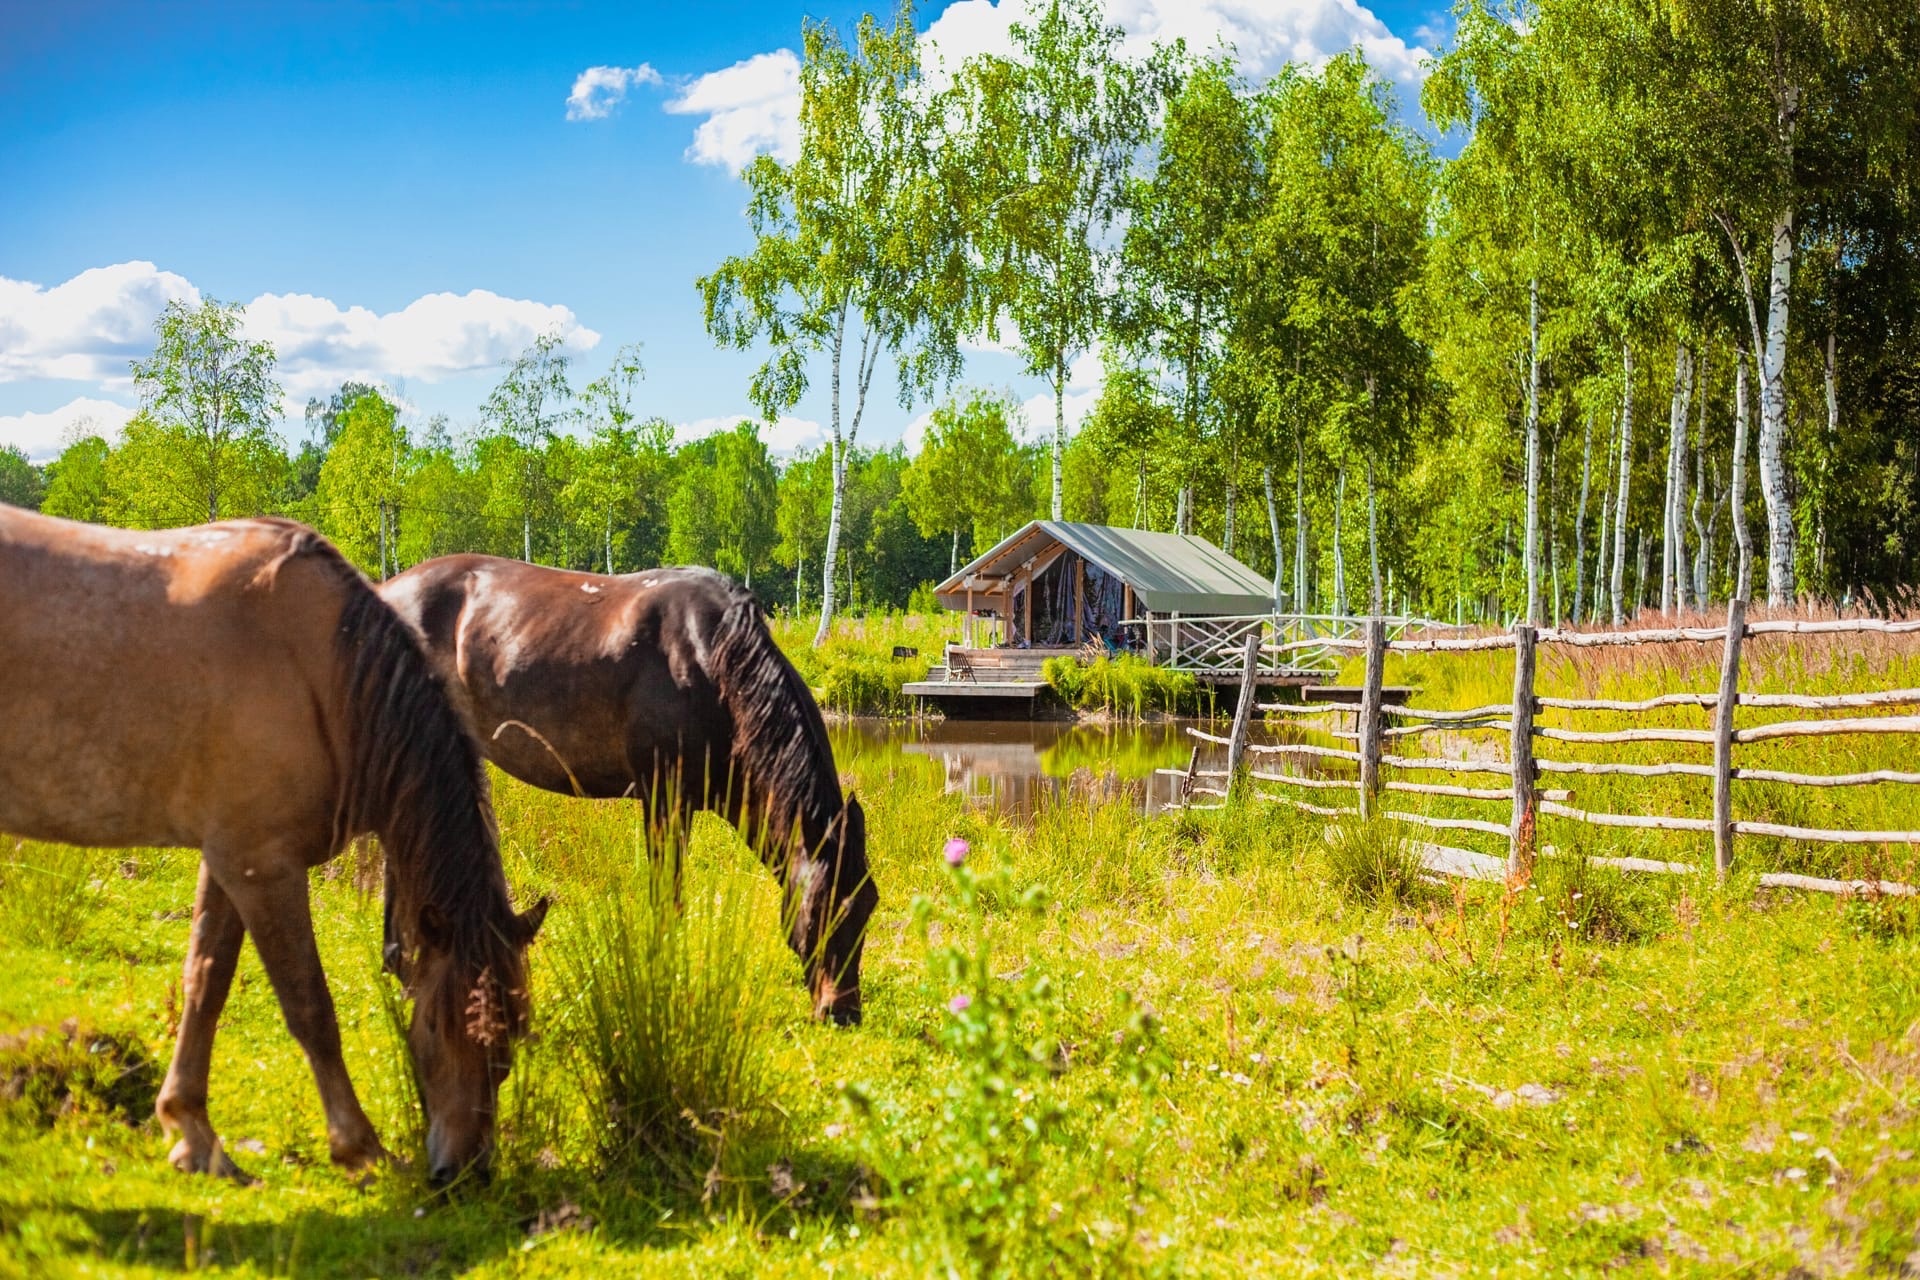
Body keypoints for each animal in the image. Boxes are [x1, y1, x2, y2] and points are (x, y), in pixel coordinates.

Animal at [0, 506, 549, 1189]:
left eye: (515, 1031)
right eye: (435, 1023)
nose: (464, 1173)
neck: (323, 673)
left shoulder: (228, 859)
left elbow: (205, 981)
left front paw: (192, 1133)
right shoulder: (262, 867)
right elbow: (310, 1005)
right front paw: (359, 1146)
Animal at [378, 556, 875, 1028]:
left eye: (867, 904)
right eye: (823, 907)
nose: (843, 1012)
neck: (711, 661)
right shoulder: (663, 798)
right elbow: (666, 896)